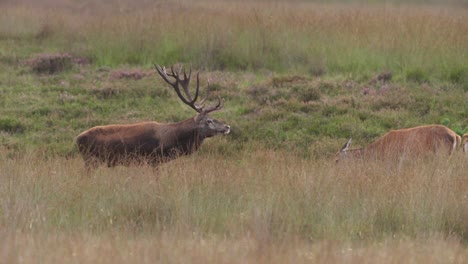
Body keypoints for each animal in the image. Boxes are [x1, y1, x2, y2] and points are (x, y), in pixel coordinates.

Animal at [77, 65, 230, 170]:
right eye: (209, 120)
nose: (227, 127)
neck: (170, 140)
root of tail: (77, 138)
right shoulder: (153, 159)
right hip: (90, 160)